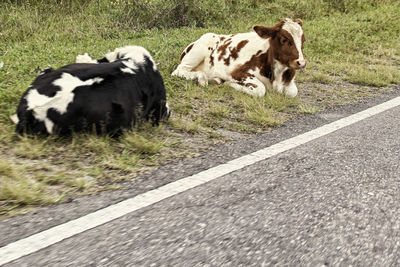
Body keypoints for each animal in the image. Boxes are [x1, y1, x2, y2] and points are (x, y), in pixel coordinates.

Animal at [171, 19, 306, 98]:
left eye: (303, 40)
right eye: (284, 40)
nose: (301, 63)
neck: (276, 75)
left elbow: (292, 92)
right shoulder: (238, 73)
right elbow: (260, 90)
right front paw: (229, 83)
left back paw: (215, 79)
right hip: (198, 51)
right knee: (179, 71)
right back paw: (204, 79)